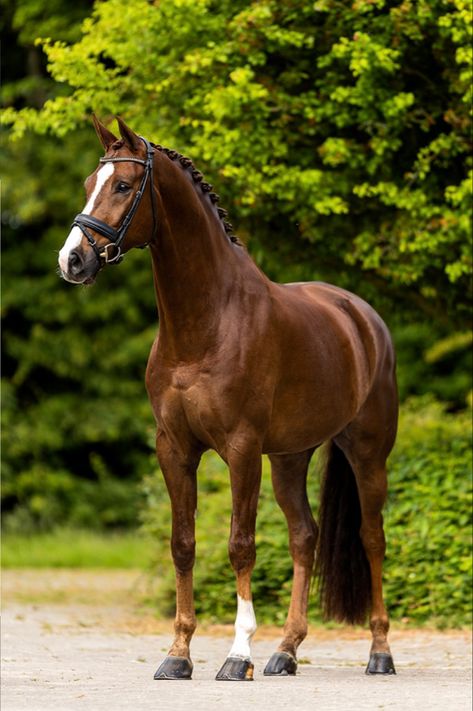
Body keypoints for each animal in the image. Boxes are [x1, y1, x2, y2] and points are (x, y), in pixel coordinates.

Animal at [59, 118, 398, 684]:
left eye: (123, 186)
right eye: (90, 183)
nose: (73, 260)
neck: (207, 323)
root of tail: (363, 318)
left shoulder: (241, 450)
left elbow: (241, 545)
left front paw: (237, 656)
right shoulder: (174, 449)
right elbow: (183, 544)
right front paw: (177, 654)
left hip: (368, 452)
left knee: (372, 538)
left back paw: (379, 652)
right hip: (289, 458)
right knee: (304, 535)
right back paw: (285, 652)